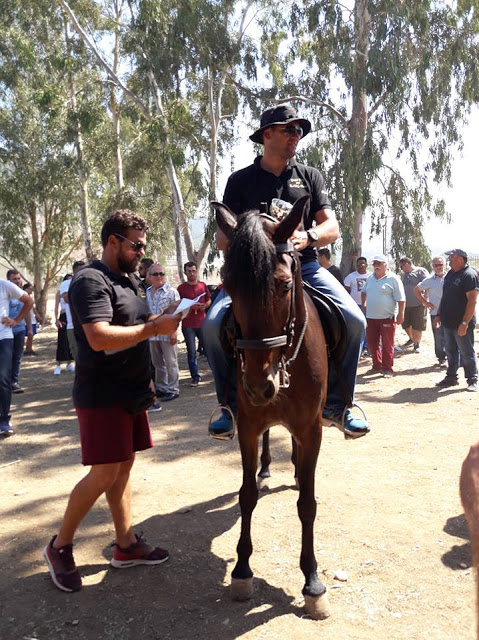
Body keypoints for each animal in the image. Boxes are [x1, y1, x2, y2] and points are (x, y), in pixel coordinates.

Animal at [215, 196, 332, 620]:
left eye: (284, 285)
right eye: (228, 285)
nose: (257, 385)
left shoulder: (311, 429)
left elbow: (308, 504)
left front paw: (312, 582)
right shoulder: (249, 426)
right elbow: (246, 494)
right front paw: (242, 570)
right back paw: (269, 467)